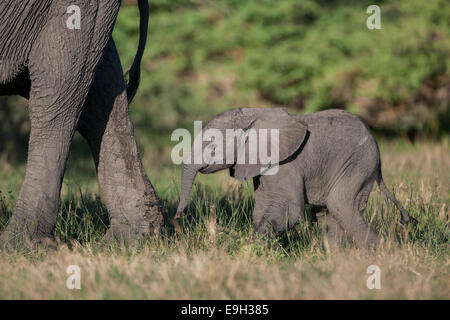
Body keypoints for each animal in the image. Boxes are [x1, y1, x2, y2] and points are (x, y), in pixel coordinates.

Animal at [174, 108, 410, 250]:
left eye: (212, 146)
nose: (178, 217)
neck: (254, 114)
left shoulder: (286, 163)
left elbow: (287, 210)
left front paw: (249, 250)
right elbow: (262, 209)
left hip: (357, 164)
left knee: (341, 207)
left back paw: (388, 254)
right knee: (327, 214)